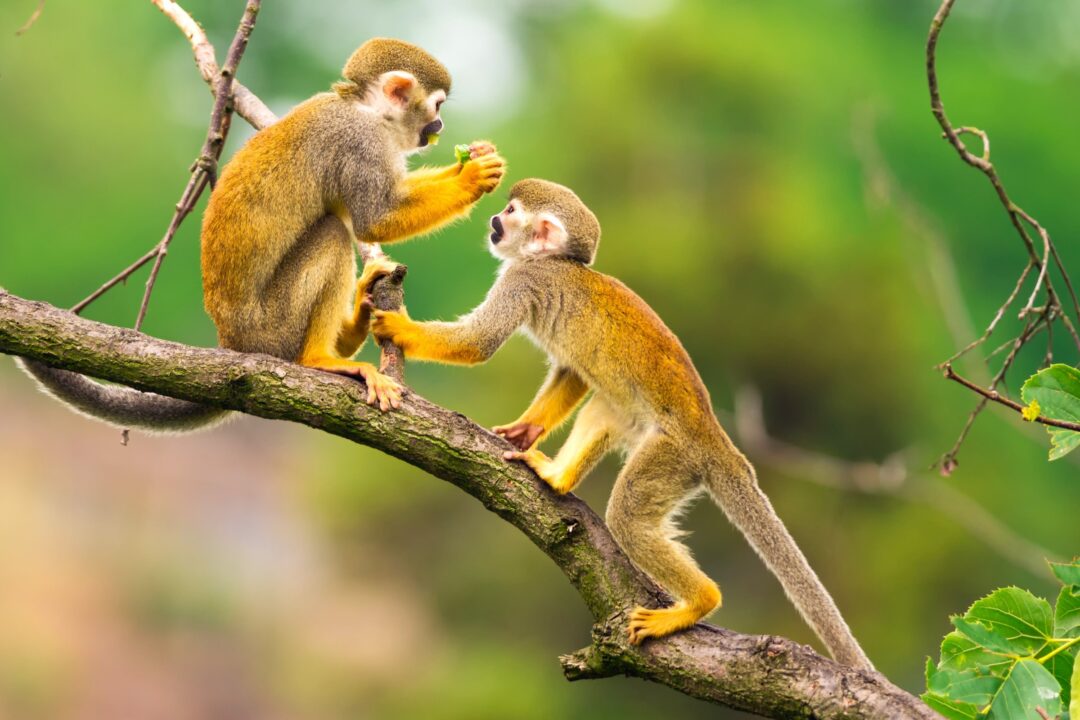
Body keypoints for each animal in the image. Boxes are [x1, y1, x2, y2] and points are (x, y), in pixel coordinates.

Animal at [18, 38, 506, 430]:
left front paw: (476, 159)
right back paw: (321, 358)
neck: (365, 109)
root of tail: (233, 344)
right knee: (332, 233)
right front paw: (472, 177)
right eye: (437, 107)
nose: (439, 128)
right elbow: (375, 219)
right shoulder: (359, 143)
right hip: (273, 327)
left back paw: (354, 325)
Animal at [370, 179, 873, 669]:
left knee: (628, 515)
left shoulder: (524, 280)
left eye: (511, 212)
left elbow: (479, 343)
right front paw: (526, 430)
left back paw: (699, 602)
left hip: (674, 456)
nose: (494, 220)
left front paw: (398, 328)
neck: (553, 262)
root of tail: (718, 441)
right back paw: (558, 477)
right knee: (604, 407)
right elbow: (572, 372)